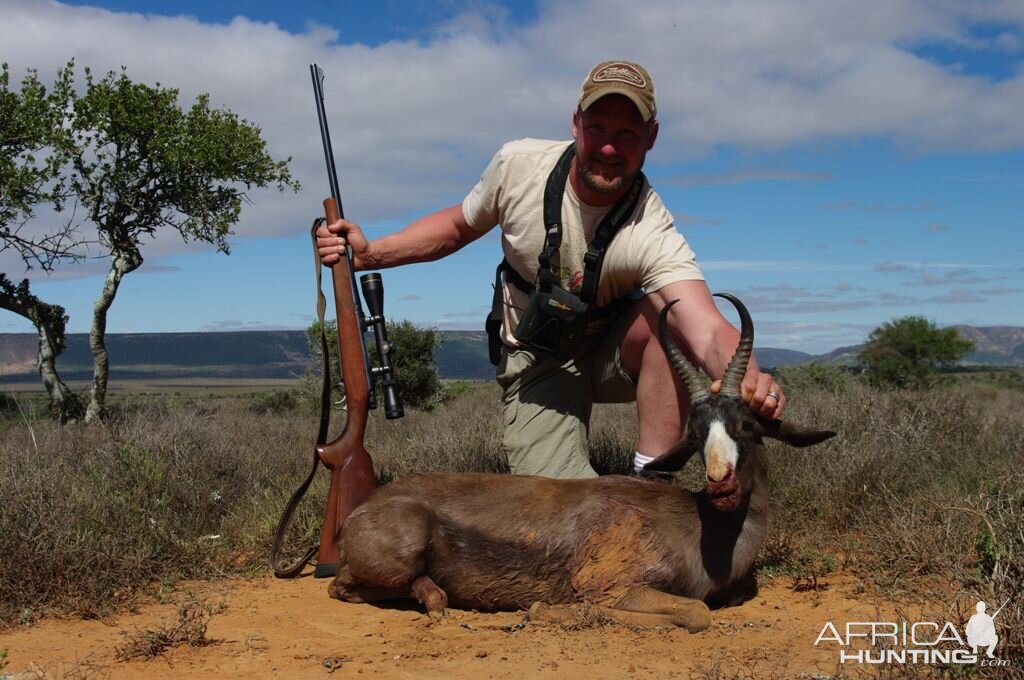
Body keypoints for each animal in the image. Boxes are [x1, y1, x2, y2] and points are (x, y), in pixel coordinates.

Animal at [331, 292, 835, 630]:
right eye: (694, 433)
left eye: (745, 424)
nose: (720, 481)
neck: (701, 527)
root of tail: (359, 513)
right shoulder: (615, 587)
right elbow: (695, 613)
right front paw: (545, 609)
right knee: (346, 587)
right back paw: (436, 602)